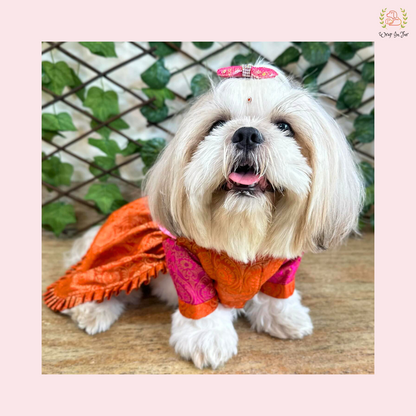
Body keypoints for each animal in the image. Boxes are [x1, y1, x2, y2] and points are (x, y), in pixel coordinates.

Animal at [48, 61, 364, 368]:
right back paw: (92, 311)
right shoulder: (184, 262)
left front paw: (284, 317)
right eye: (218, 123)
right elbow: (202, 304)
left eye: (285, 126)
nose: (246, 133)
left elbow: (277, 293)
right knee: (92, 284)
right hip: (122, 261)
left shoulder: (282, 266)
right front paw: (207, 338)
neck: (242, 229)